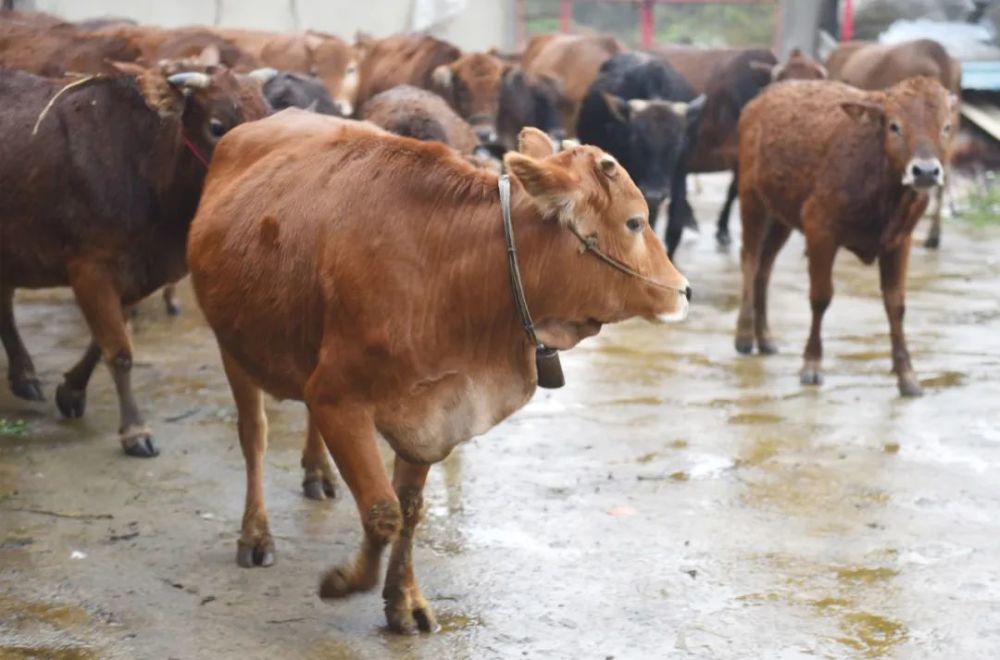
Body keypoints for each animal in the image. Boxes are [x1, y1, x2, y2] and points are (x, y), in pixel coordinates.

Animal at [0, 68, 270, 458]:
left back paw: (23, 375)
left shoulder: (133, 274)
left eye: (269, 117)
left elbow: (102, 342)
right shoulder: (91, 267)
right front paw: (135, 431)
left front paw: (71, 391)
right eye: (217, 126)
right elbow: (119, 352)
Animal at [186, 117, 688, 636]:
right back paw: (255, 534)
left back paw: (317, 473)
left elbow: (408, 509)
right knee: (254, 437)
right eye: (635, 221)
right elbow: (382, 511)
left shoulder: (430, 414)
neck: (456, 270)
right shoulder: (335, 399)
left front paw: (402, 600)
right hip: (232, 345)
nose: (684, 291)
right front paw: (344, 581)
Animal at [740, 77, 956, 398]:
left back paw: (764, 337)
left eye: (946, 127)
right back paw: (743, 336)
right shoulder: (820, 230)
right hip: (750, 196)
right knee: (750, 261)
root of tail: (764, 96)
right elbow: (821, 297)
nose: (926, 171)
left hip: (780, 214)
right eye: (894, 125)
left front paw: (908, 376)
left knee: (764, 268)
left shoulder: (900, 241)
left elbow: (896, 305)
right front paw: (812, 365)